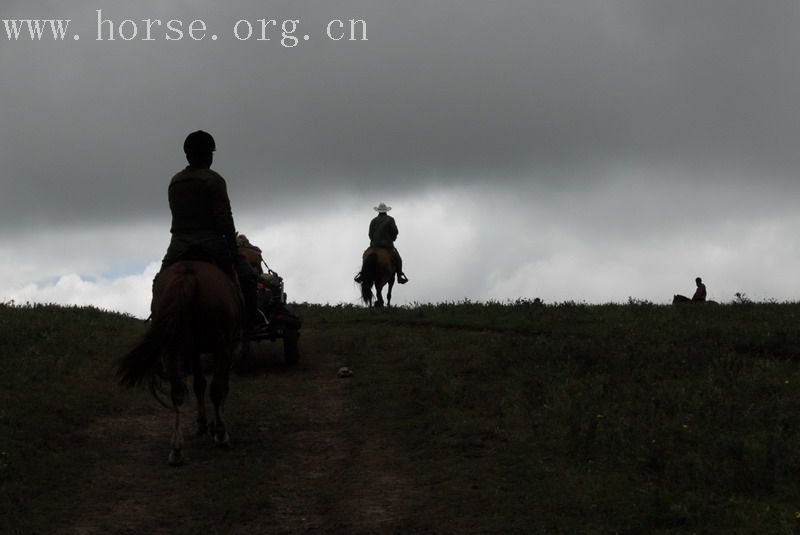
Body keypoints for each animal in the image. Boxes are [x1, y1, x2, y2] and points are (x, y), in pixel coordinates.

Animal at [115, 260, 241, 464]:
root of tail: (187, 273)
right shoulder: (227, 348)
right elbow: (221, 387)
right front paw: (215, 427)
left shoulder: (194, 351)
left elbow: (199, 385)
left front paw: (202, 425)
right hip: (220, 343)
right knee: (215, 389)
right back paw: (221, 435)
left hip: (173, 346)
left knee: (178, 393)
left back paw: (176, 449)